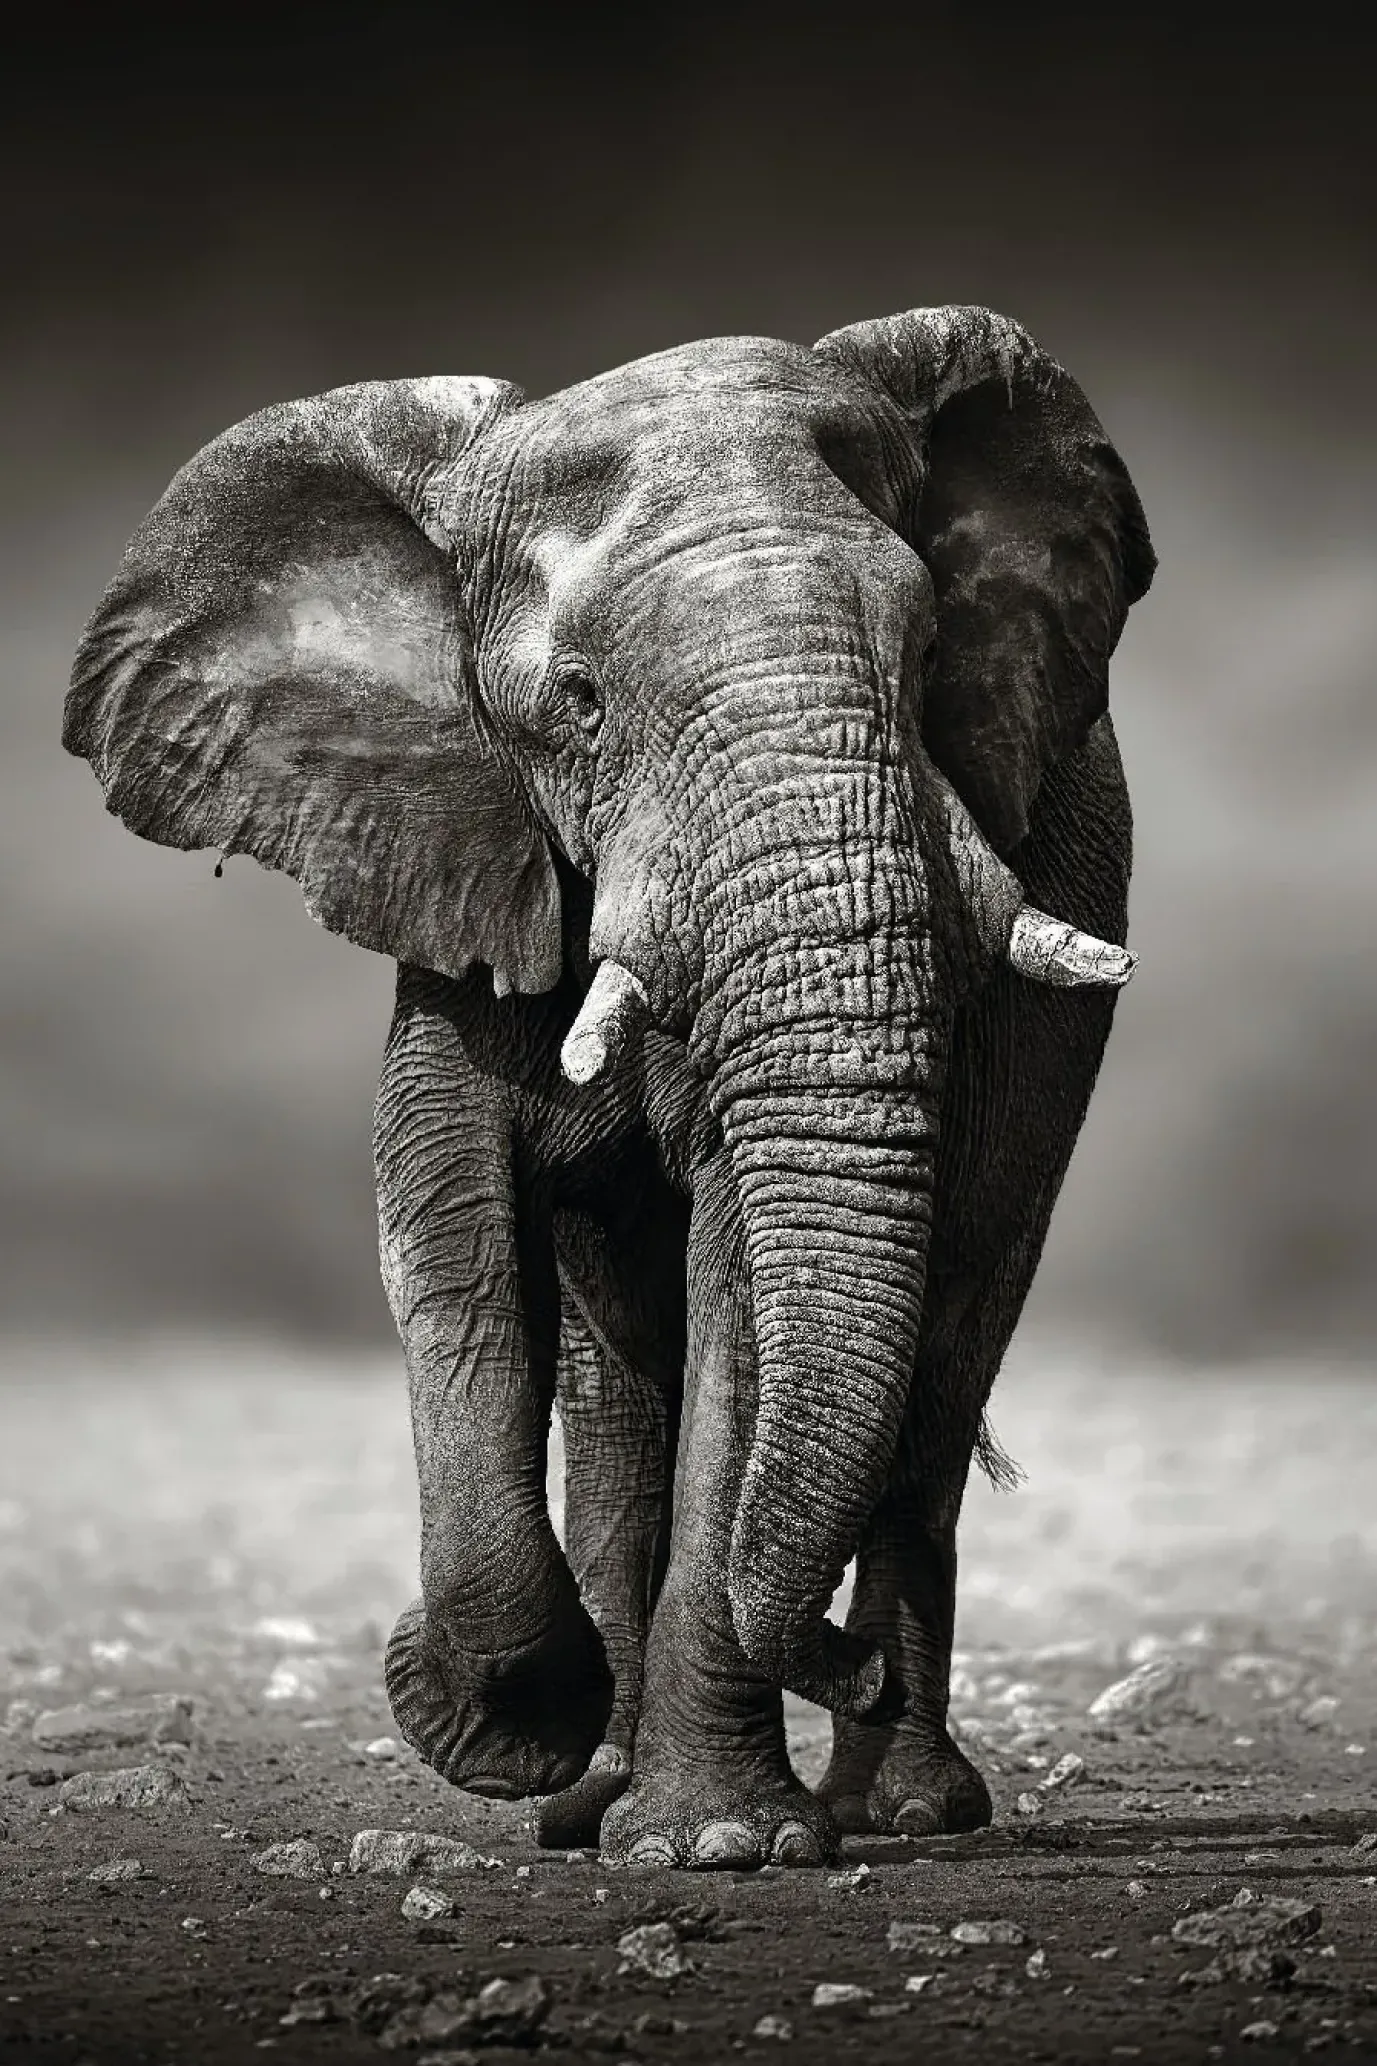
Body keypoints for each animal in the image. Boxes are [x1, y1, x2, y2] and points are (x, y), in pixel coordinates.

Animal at [64, 305, 1154, 1869]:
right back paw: (598, 1796)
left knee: (944, 1348)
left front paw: (721, 1844)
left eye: (932, 647)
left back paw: (896, 1806)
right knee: (621, 1392)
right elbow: (450, 1235)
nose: (836, 1661)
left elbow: (741, 1281)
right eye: (575, 705)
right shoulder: (462, 852)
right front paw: (505, 1726)